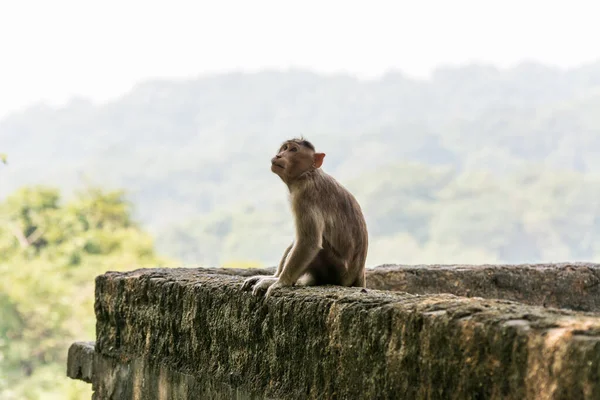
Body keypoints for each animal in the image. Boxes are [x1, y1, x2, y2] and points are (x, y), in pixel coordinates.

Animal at [241, 138, 368, 296]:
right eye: (285, 148)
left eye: (293, 150)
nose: (278, 155)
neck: (307, 174)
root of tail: (359, 274)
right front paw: (275, 279)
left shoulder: (305, 195)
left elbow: (309, 241)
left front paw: (281, 283)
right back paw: (273, 277)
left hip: (336, 271)